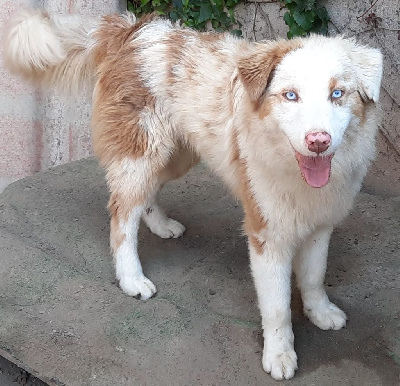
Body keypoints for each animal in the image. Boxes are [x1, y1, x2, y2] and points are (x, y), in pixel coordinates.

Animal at [4, 9, 382, 380]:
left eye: (338, 94)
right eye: (291, 95)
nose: (318, 140)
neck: (295, 169)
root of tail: (133, 30)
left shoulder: (321, 223)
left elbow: (315, 276)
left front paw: (320, 312)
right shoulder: (266, 234)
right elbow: (277, 307)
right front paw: (279, 355)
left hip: (175, 156)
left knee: (143, 198)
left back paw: (161, 225)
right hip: (142, 153)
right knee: (121, 215)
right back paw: (132, 278)